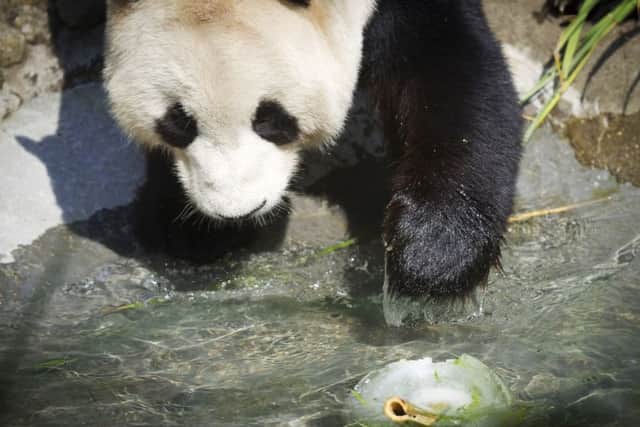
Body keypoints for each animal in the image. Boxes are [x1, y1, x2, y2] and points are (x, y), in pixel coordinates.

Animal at [103, 0, 522, 322]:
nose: (238, 211)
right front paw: (188, 226)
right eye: (179, 123)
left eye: (271, 119)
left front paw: (433, 258)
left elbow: (447, 65)